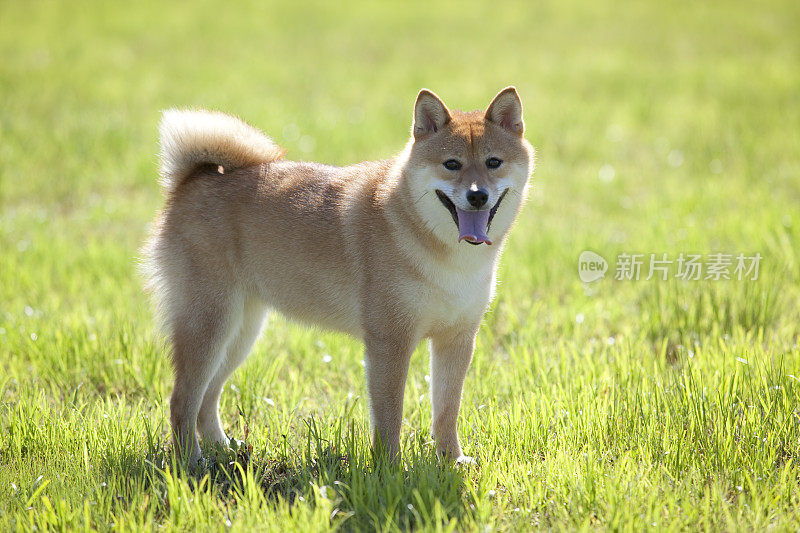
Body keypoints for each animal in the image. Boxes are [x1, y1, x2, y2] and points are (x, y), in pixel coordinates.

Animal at [141, 87, 536, 466]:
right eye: (452, 164)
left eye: (493, 162)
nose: (477, 196)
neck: (449, 259)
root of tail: (192, 179)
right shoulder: (389, 342)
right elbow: (390, 417)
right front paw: (390, 469)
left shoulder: (457, 339)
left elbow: (446, 411)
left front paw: (451, 460)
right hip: (210, 325)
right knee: (181, 401)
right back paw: (191, 461)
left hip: (240, 333)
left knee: (207, 398)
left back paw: (223, 448)